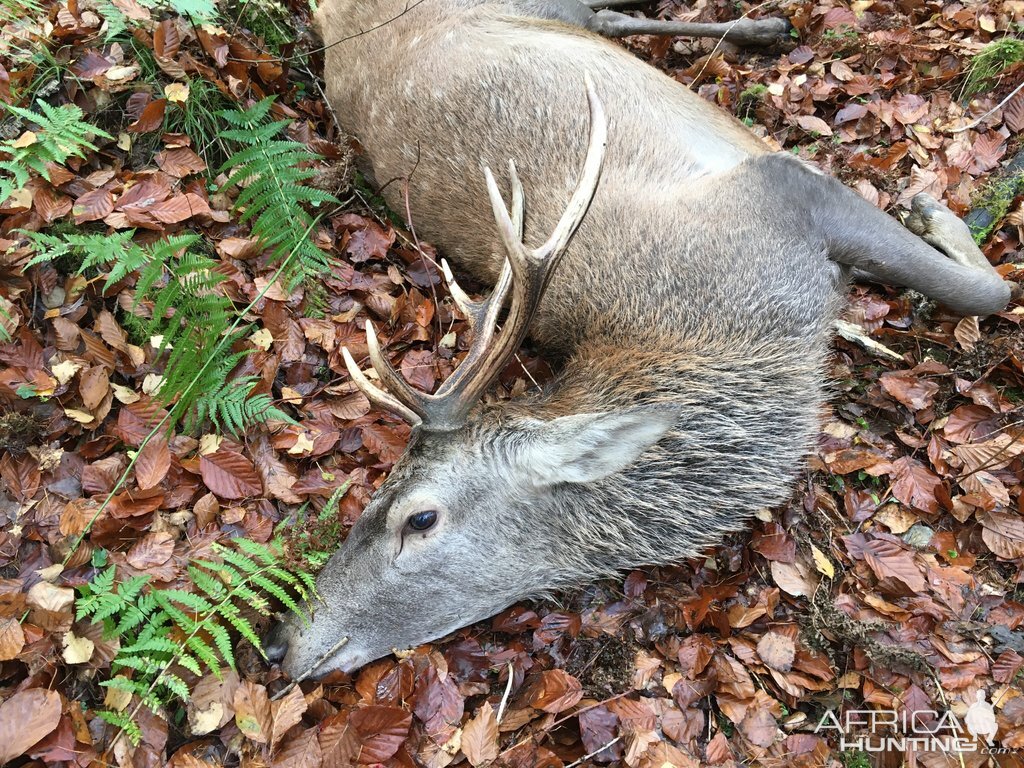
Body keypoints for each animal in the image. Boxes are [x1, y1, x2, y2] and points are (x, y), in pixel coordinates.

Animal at [266, 0, 1015, 679]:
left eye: (419, 519)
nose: (280, 644)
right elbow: (990, 292)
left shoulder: (783, 187)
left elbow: (992, 292)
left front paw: (934, 209)